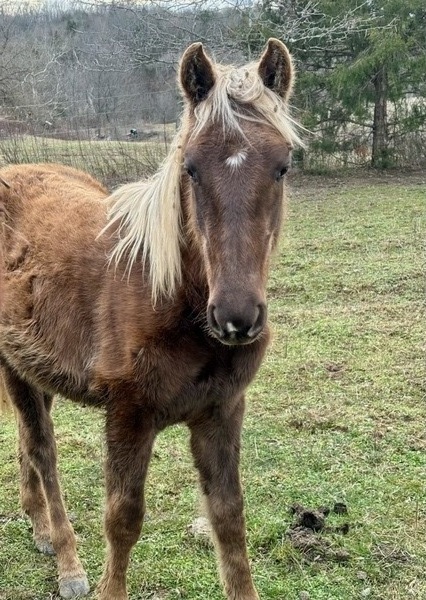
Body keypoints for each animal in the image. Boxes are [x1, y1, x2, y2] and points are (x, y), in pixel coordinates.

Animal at [0, 39, 302, 596]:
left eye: (283, 165)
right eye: (191, 167)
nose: (236, 319)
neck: (171, 299)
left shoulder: (222, 412)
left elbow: (229, 520)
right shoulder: (129, 417)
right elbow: (123, 521)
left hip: (37, 366)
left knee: (31, 447)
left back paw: (41, 530)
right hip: (14, 366)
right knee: (42, 450)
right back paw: (68, 563)